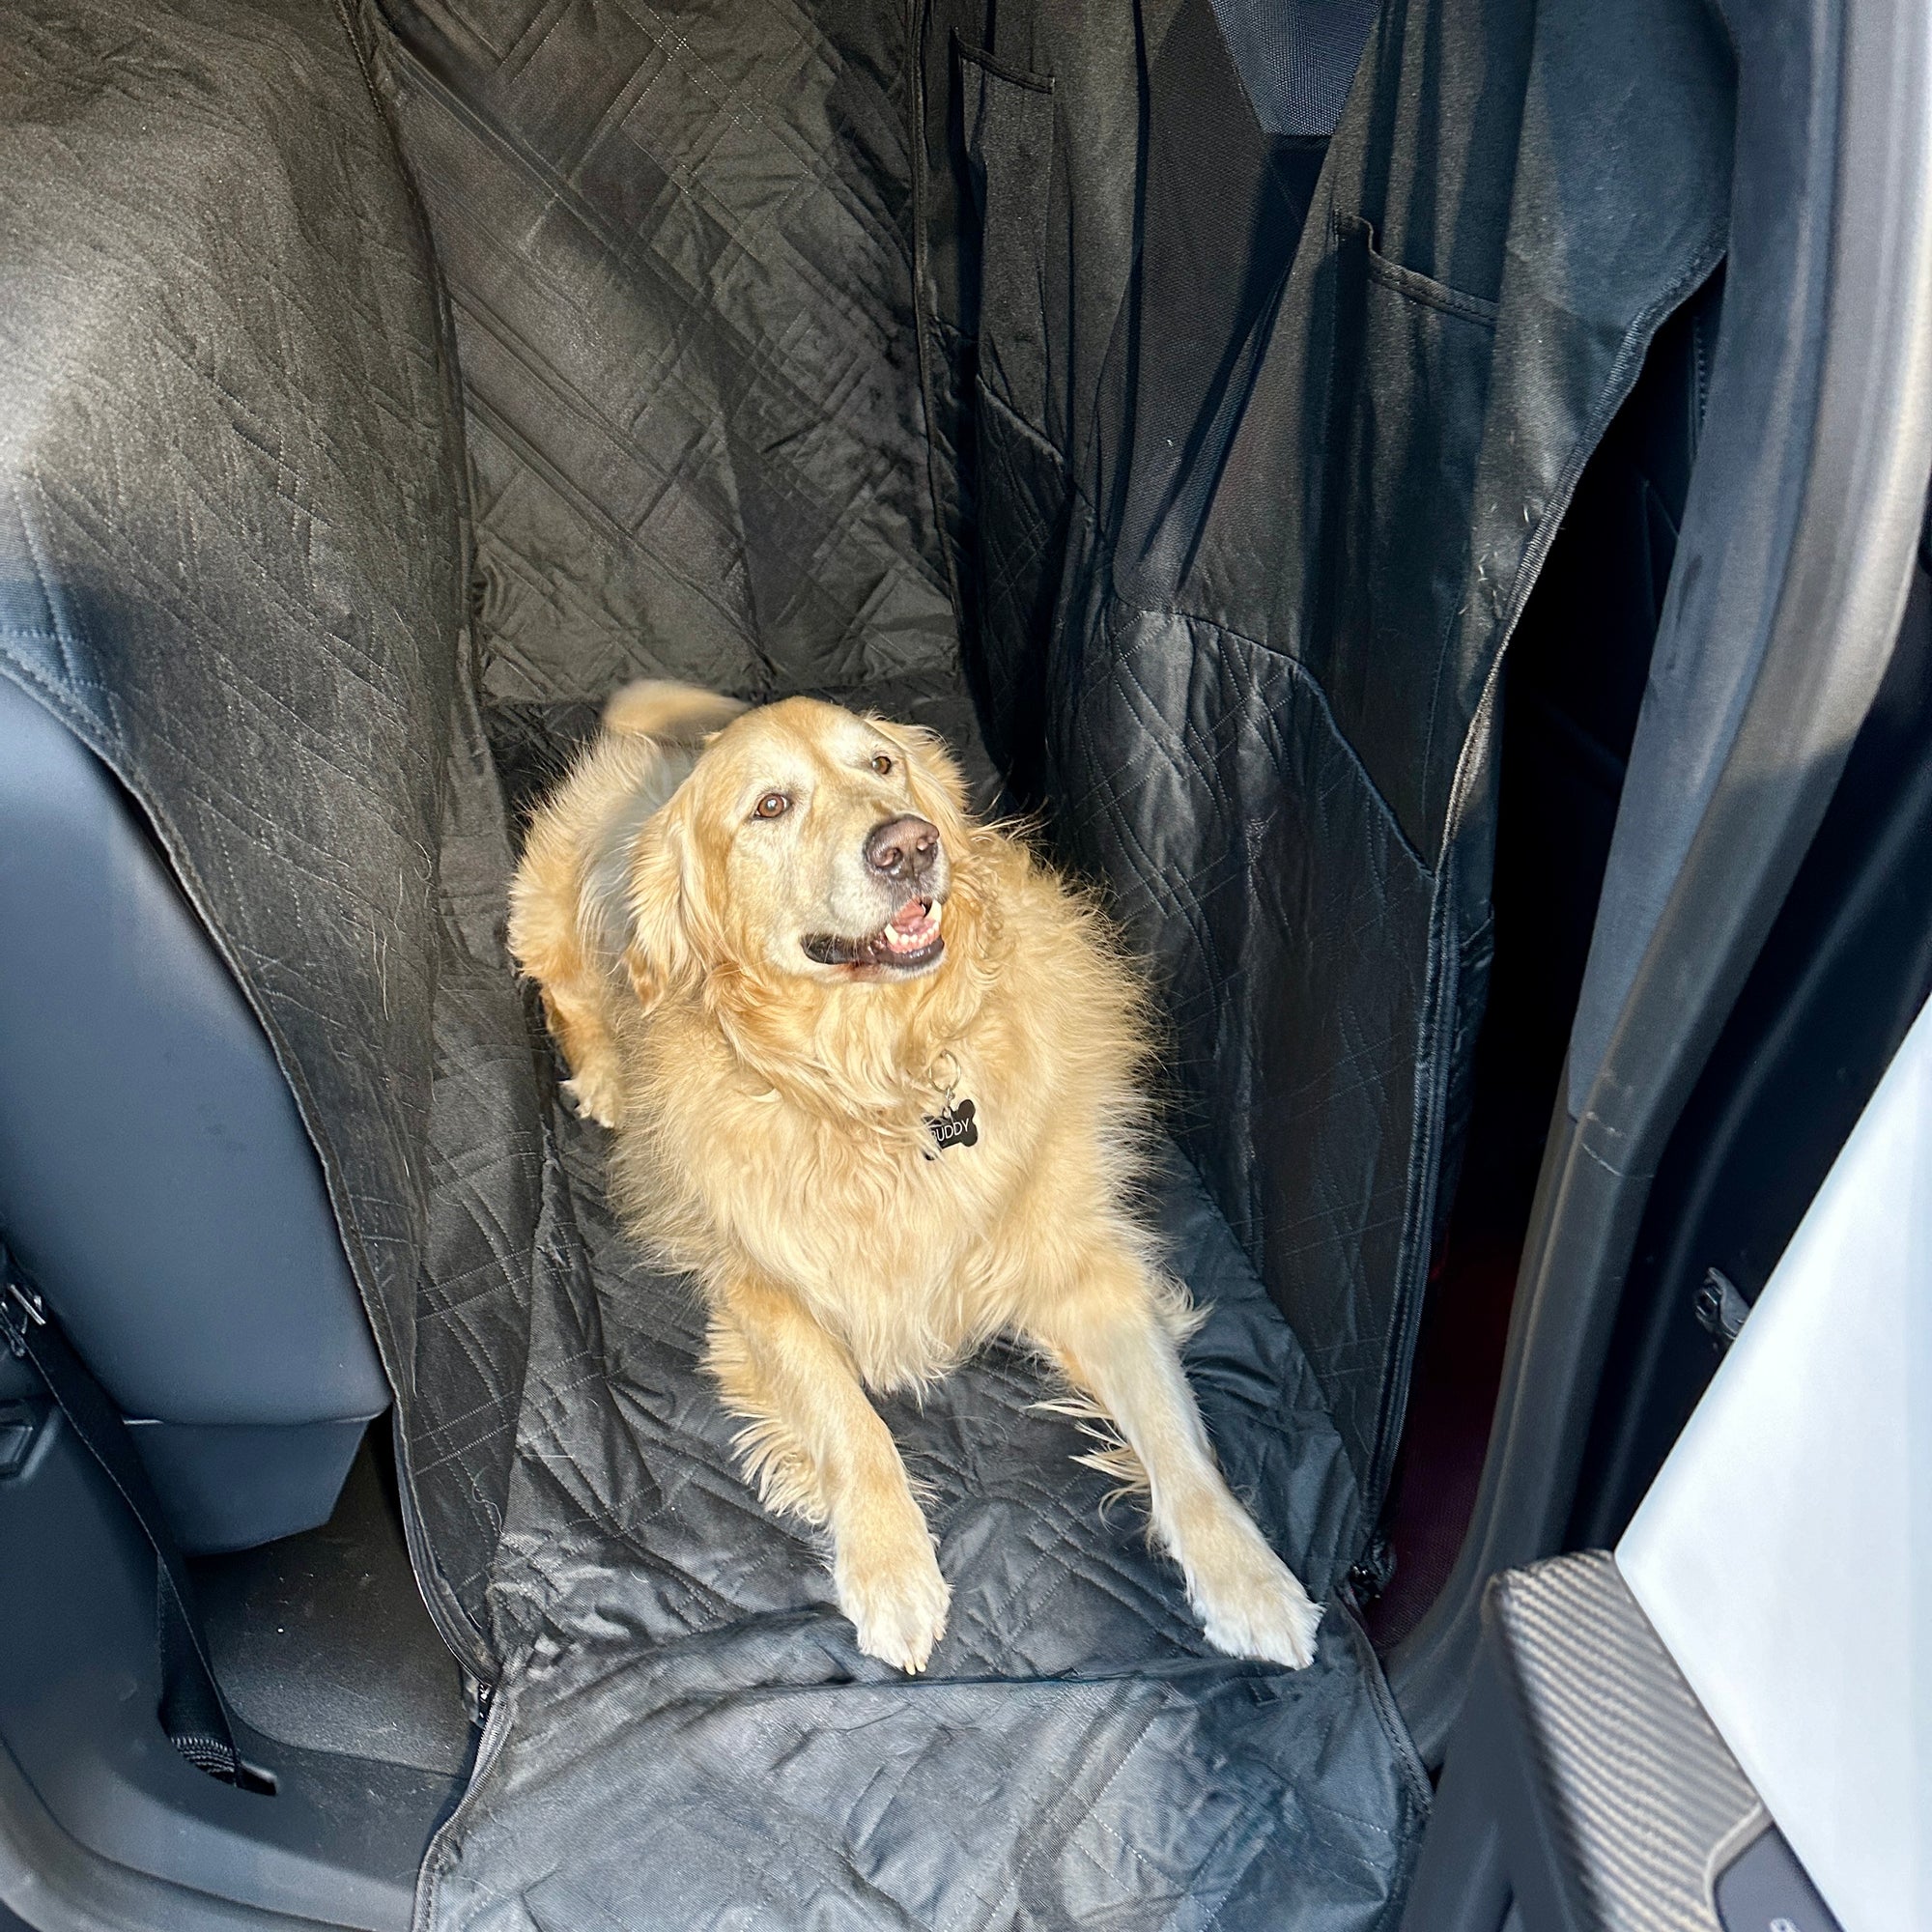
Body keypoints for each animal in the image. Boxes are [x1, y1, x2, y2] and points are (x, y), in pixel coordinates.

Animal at [510, 684, 1329, 1677]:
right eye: (770, 806)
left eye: (881, 764)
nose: (907, 845)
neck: (884, 1080)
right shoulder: (760, 1286)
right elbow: (847, 1418)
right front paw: (891, 1564)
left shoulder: (1085, 1269)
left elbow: (1175, 1425)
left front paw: (1247, 1575)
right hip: (552, 912)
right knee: (566, 994)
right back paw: (602, 1076)